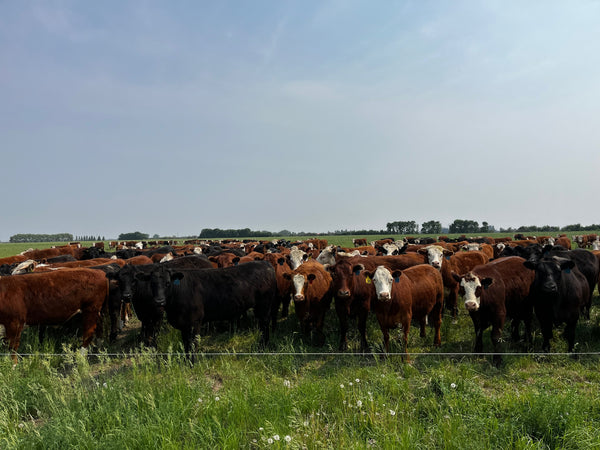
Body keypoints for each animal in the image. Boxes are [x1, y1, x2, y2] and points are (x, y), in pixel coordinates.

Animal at [137, 260, 276, 358]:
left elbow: (192, 345)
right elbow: (186, 345)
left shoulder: (194, 322)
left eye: (167, 283)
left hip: (264, 306)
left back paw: (262, 348)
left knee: (264, 326)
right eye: (152, 283)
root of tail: (265, 264)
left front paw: (192, 364)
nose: (159, 301)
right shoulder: (184, 325)